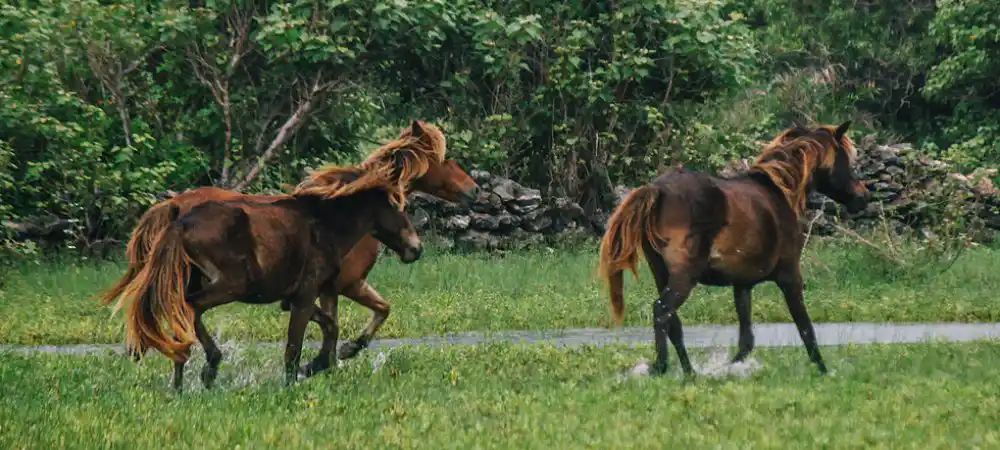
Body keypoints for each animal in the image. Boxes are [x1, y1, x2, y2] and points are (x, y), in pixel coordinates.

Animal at [99, 118, 478, 358]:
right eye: (445, 158)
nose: (474, 190)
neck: (345, 211)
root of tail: (176, 206)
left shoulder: (327, 289)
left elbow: (349, 320)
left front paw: (327, 363)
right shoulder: (346, 285)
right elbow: (375, 312)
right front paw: (345, 352)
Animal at [596, 121, 872, 374]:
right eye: (846, 159)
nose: (863, 197)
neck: (780, 190)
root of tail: (657, 190)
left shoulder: (743, 285)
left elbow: (746, 340)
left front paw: (730, 367)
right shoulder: (790, 276)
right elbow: (805, 328)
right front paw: (824, 370)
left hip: (662, 273)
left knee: (673, 323)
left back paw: (689, 372)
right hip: (684, 276)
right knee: (662, 312)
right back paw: (665, 368)